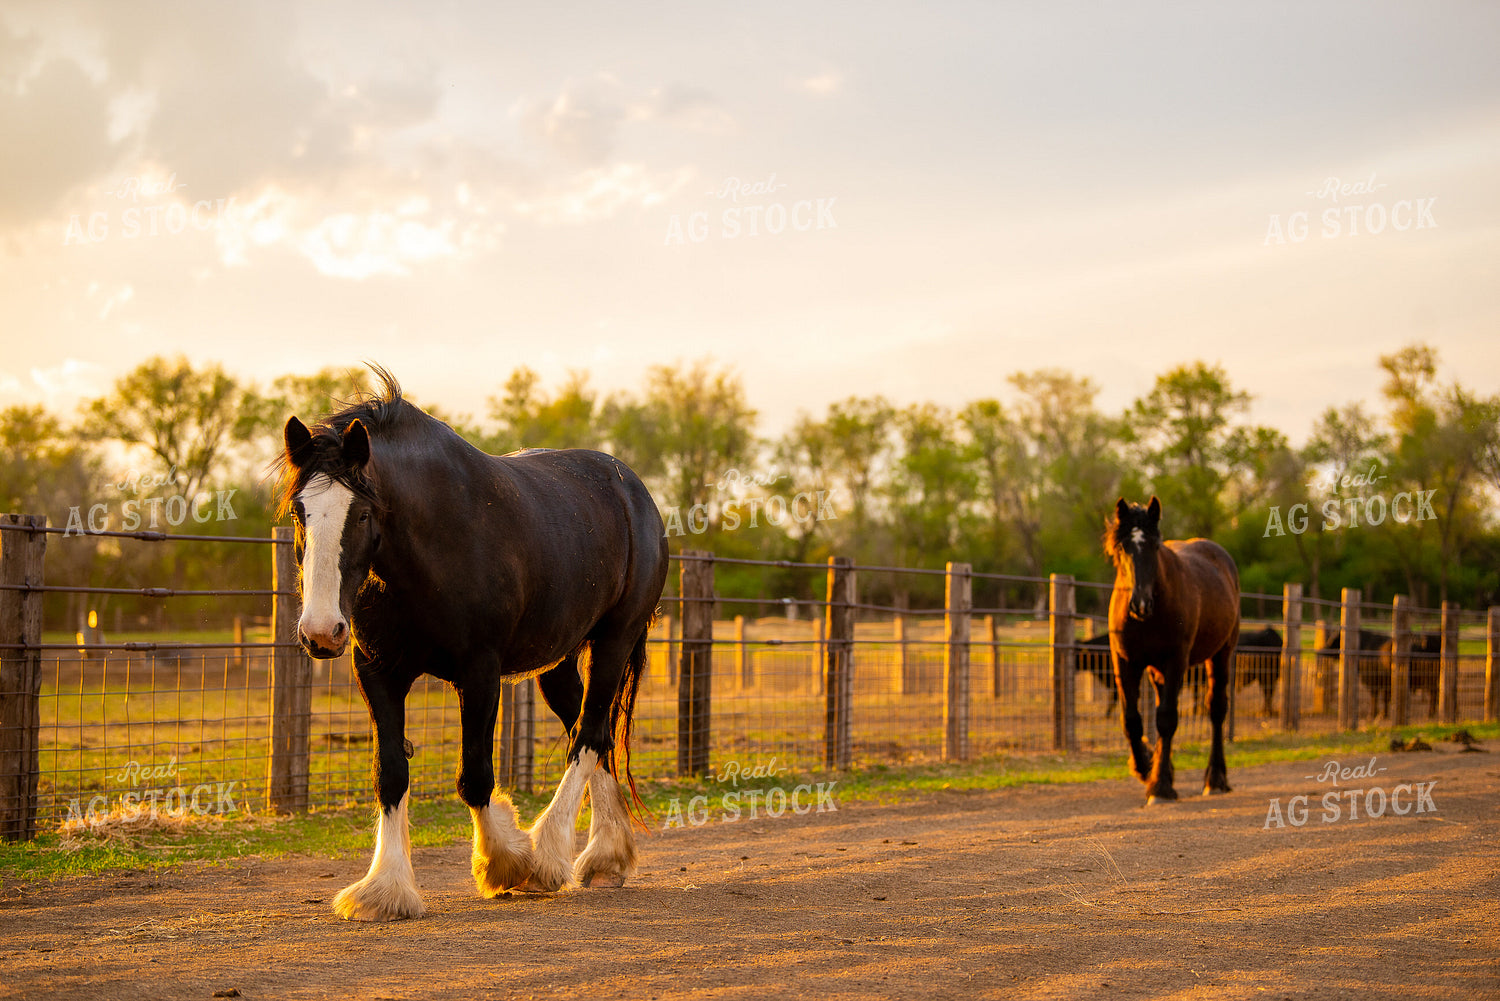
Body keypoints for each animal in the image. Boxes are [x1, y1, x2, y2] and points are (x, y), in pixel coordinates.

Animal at [277, 369, 668, 921]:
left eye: (362, 514)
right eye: (300, 512)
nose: (321, 631)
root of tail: (635, 490)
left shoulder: (479, 672)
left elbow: (475, 776)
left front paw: (507, 860)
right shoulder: (377, 672)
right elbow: (391, 774)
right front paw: (386, 888)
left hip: (616, 638)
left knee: (589, 735)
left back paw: (549, 856)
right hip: (559, 661)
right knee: (593, 734)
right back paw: (606, 857)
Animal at [1103, 496, 1239, 803]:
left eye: (1155, 546)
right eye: (1123, 547)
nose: (1140, 603)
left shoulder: (1176, 660)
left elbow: (1166, 719)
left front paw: (1161, 787)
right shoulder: (1125, 661)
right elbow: (1132, 720)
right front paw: (1145, 767)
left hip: (1221, 653)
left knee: (1216, 709)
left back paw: (1215, 779)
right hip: (1157, 670)